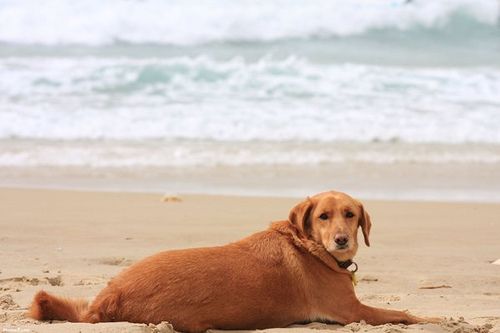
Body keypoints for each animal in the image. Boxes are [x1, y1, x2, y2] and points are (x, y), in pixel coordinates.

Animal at [29, 191, 436, 330]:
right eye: (324, 216)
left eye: (350, 215)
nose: (341, 239)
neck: (308, 245)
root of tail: (107, 299)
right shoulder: (353, 313)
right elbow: (403, 313)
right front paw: (434, 319)